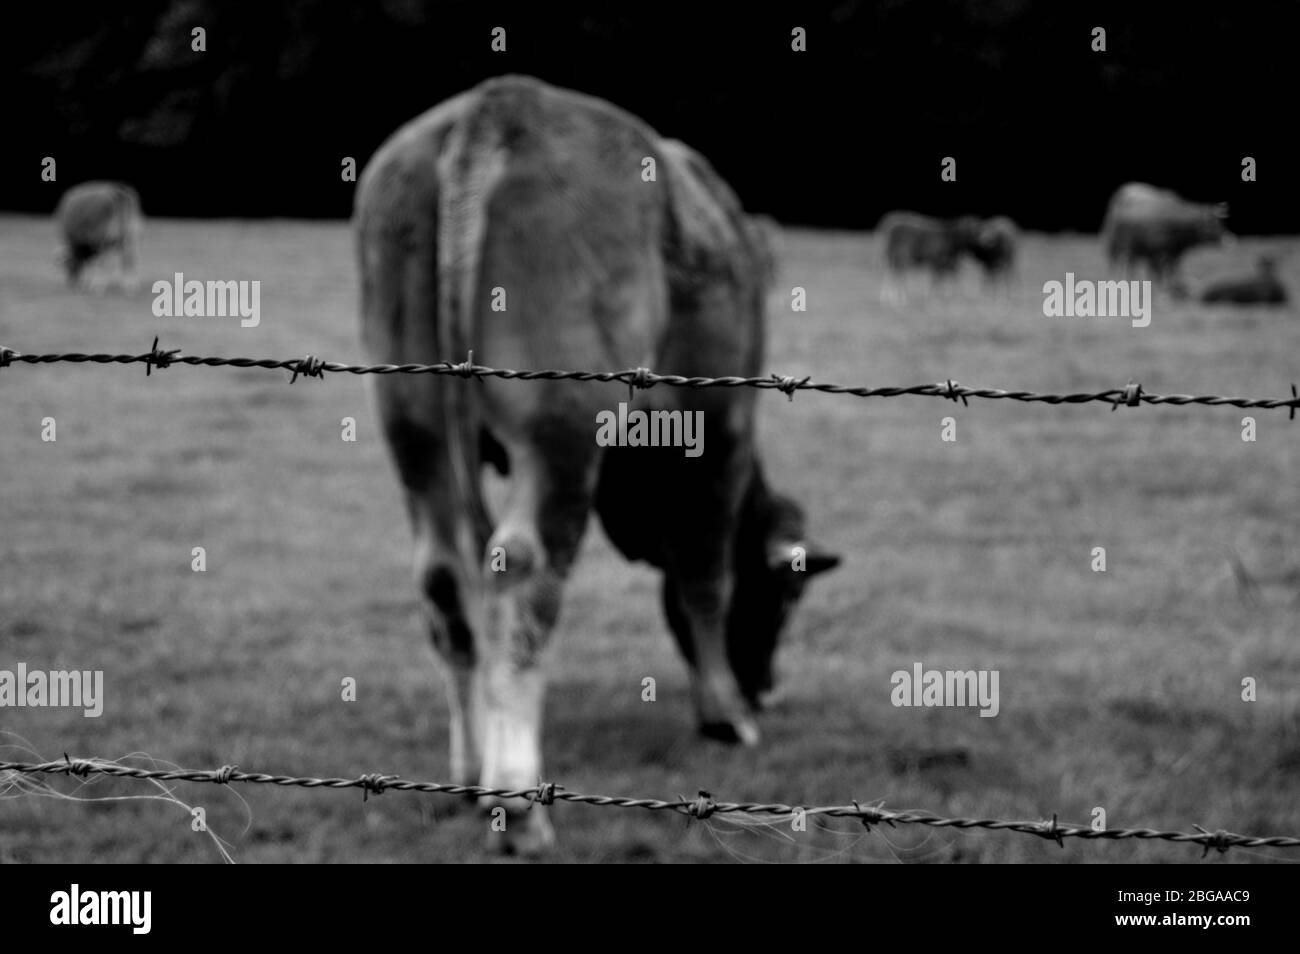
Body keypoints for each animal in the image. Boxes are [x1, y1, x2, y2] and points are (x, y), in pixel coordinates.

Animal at [353, 74, 842, 852]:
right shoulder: (722, 430)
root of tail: (504, 101)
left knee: (444, 574)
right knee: (523, 569)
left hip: (412, 421)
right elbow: (707, 574)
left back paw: (467, 773)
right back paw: (517, 805)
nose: (766, 687)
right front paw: (726, 713)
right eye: (788, 595)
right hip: (562, 429)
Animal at [1097, 180, 1227, 282]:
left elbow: (1171, 270)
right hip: (1113, 243)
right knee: (1115, 262)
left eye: (1219, 223)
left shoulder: (1173, 252)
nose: (1226, 240)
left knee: (1130, 265)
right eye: (1213, 224)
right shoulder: (1159, 252)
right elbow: (1160, 273)